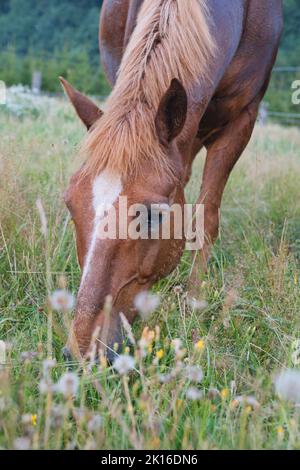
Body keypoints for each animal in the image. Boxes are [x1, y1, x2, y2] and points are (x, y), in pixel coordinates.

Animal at [59, 0, 282, 360]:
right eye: (70, 205)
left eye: (152, 216)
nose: (82, 352)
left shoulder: (242, 120)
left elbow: (205, 218)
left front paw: (193, 304)